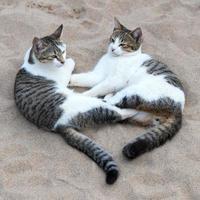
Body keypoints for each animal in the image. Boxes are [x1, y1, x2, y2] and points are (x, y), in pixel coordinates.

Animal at [14, 24, 139, 184]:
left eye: (63, 51)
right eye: (53, 56)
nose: (62, 61)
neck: (32, 61)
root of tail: (60, 126)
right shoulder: (62, 75)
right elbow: (71, 64)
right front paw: (69, 61)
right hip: (89, 105)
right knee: (116, 112)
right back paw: (132, 110)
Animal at [69, 18, 185, 160]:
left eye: (122, 44)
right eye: (113, 40)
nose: (113, 49)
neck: (115, 58)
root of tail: (179, 108)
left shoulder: (115, 80)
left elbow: (96, 89)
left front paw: (82, 95)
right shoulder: (98, 75)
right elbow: (79, 78)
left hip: (133, 92)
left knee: (112, 103)